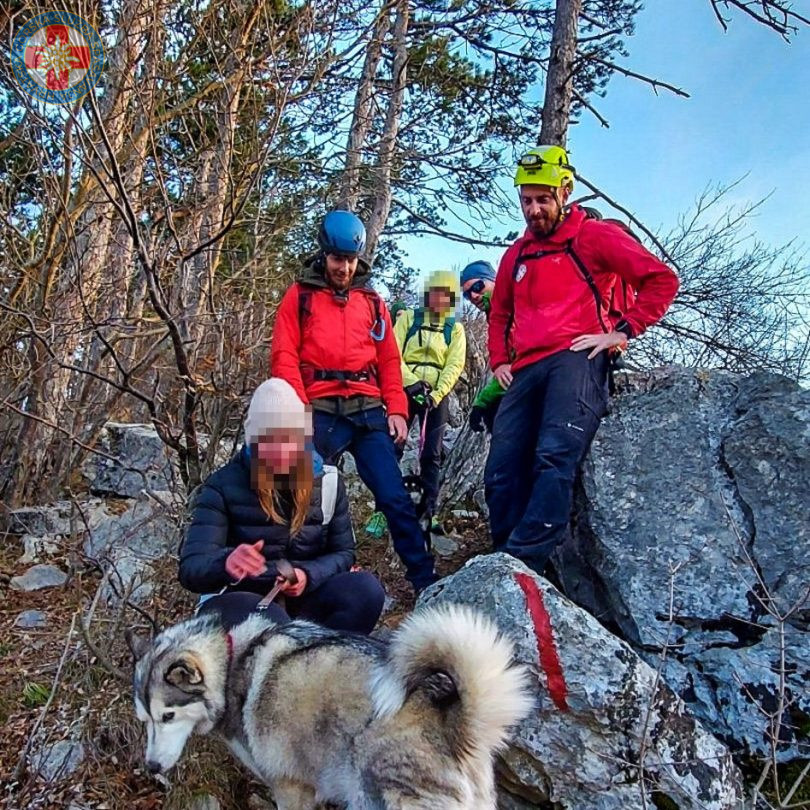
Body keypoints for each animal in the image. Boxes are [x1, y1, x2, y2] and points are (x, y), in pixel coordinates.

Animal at [128, 604, 532, 809]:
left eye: (168, 716)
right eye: (145, 720)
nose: (151, 767)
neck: (232, 666)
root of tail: (453, 723)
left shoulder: (290, 787)